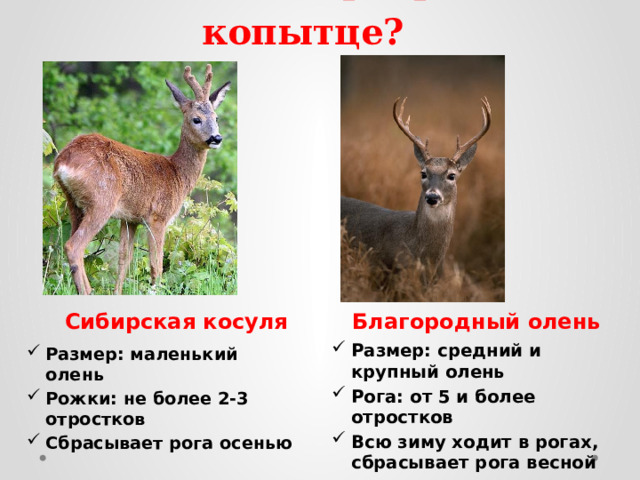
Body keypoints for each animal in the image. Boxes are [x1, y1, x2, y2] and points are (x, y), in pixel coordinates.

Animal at [53, 64, 231, 295]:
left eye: (216, 118)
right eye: (196, 119)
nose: (216, 138)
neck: (177, 173)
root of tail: (62, 162)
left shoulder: (130, 219)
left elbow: (124, 259)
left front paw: (117, 292)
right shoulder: (158, 216)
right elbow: (156, 264)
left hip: (73, 203)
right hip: (101, 200)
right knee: (74, 246)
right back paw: (86, 291)